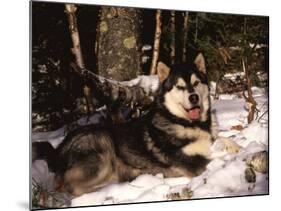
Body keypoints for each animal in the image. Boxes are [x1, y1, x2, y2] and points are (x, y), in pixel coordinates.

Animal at [32, 53, 214, 197]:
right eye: (180, 87)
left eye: (196, 83)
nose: (194, 97)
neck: (183, 122)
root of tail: (60, 148)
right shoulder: (195, 165)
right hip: (103, 148)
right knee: (69, 187)